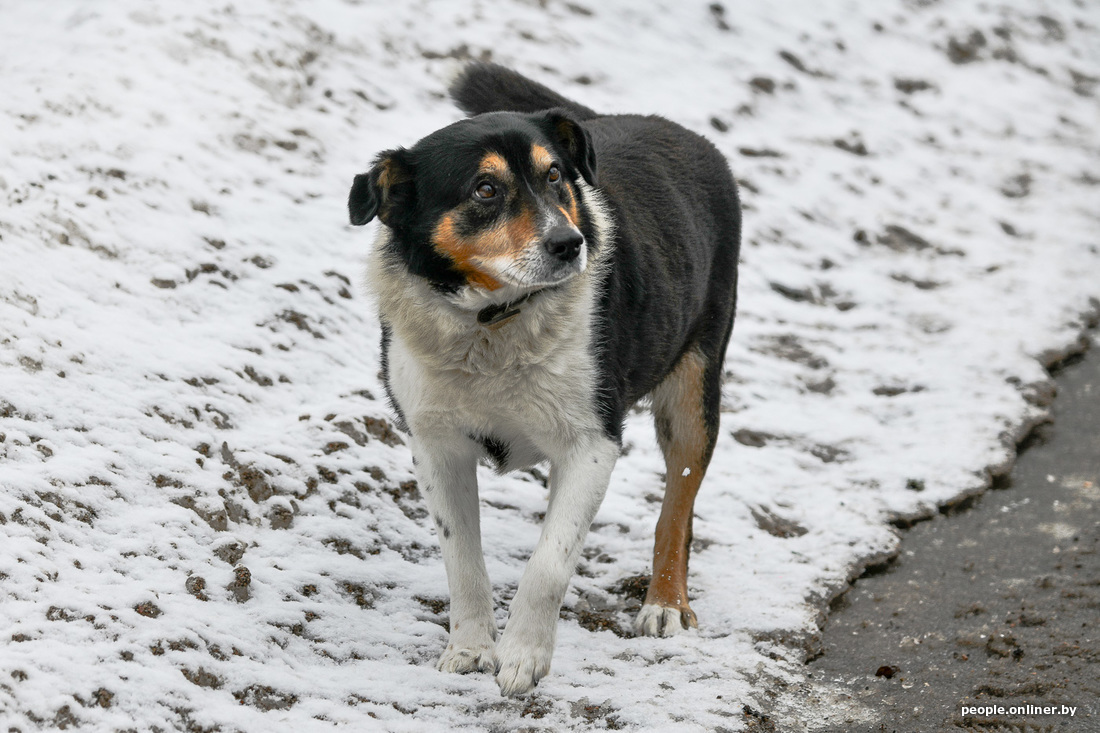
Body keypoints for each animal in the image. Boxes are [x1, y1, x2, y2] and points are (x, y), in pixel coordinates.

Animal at [347, 64, 739, 695]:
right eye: (485, 189)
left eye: (554, 175)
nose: (569, 244)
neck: (492, 323)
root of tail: (668, 126)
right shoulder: (435, 444)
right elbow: (462, 560)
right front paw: (470, 649)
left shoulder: (592, 443)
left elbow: (550, 563)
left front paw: (522, 656)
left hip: (694, 388)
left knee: (677, 506)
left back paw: (665, 603)